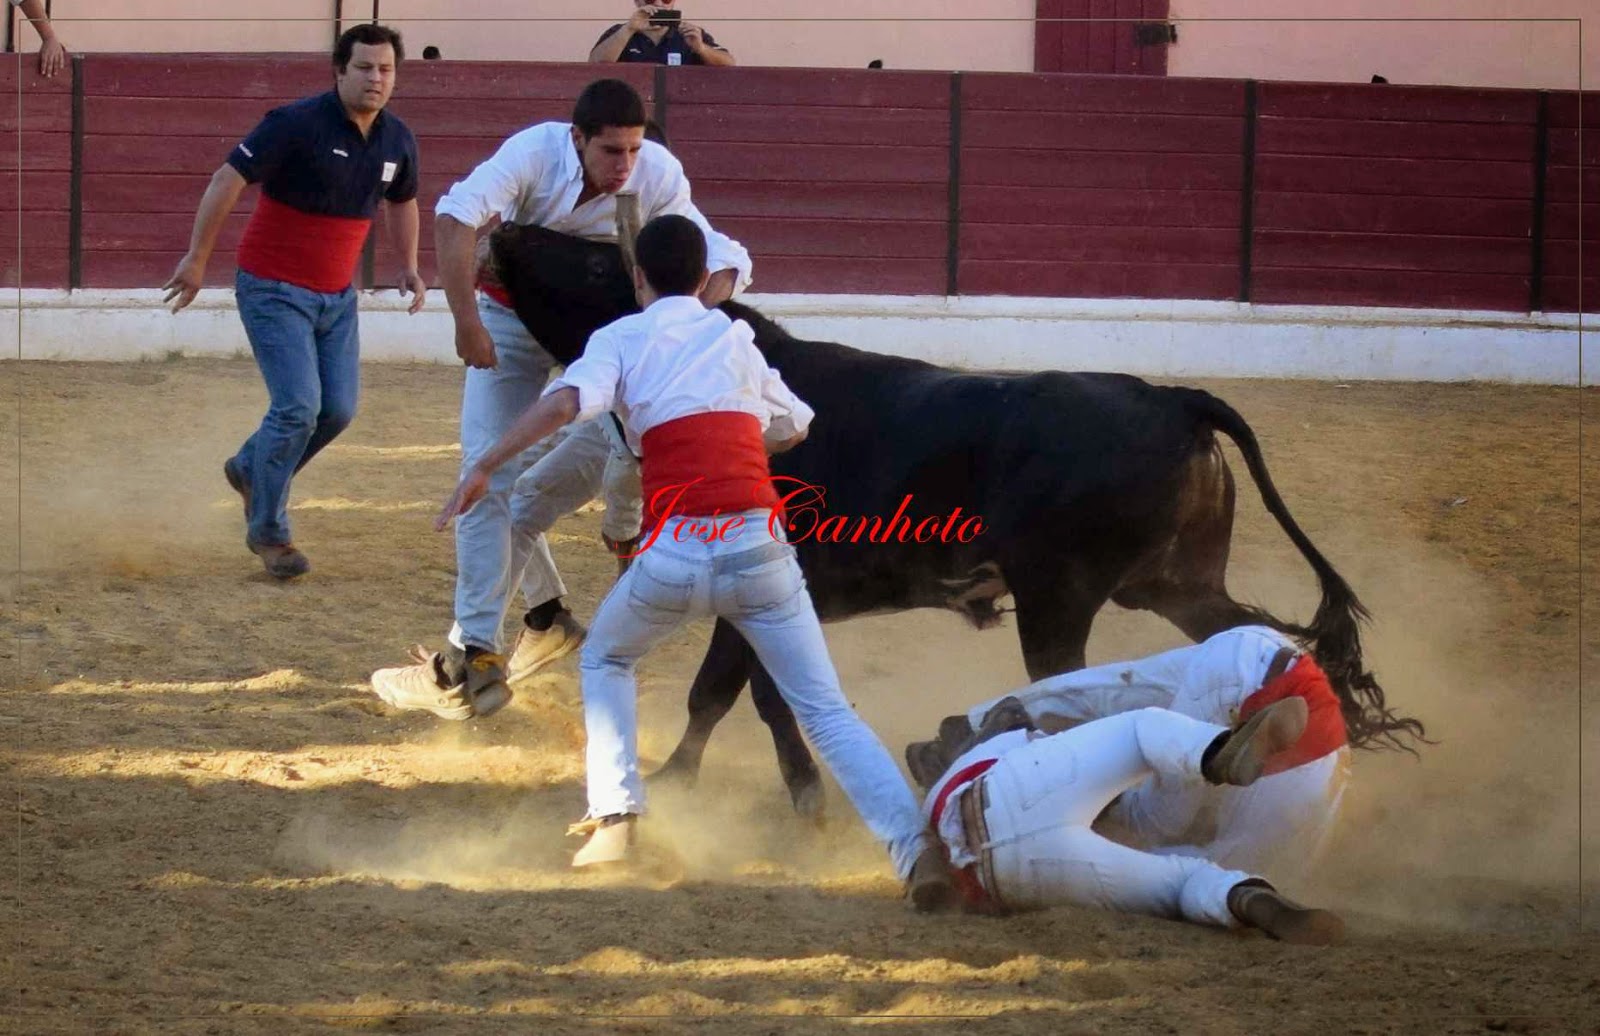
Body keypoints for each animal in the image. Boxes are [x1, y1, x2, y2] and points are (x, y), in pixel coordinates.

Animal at [488, 222, 1426, 819]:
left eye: (602, 269)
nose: (506, 233)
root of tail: (1172, 398)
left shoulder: (758, 593)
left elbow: (739, 690)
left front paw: (754, 788)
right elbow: (733, 691)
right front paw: (705, 780)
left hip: (1061, 600)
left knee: (1073, 686)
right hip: (1175, 584)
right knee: (1256, 644)